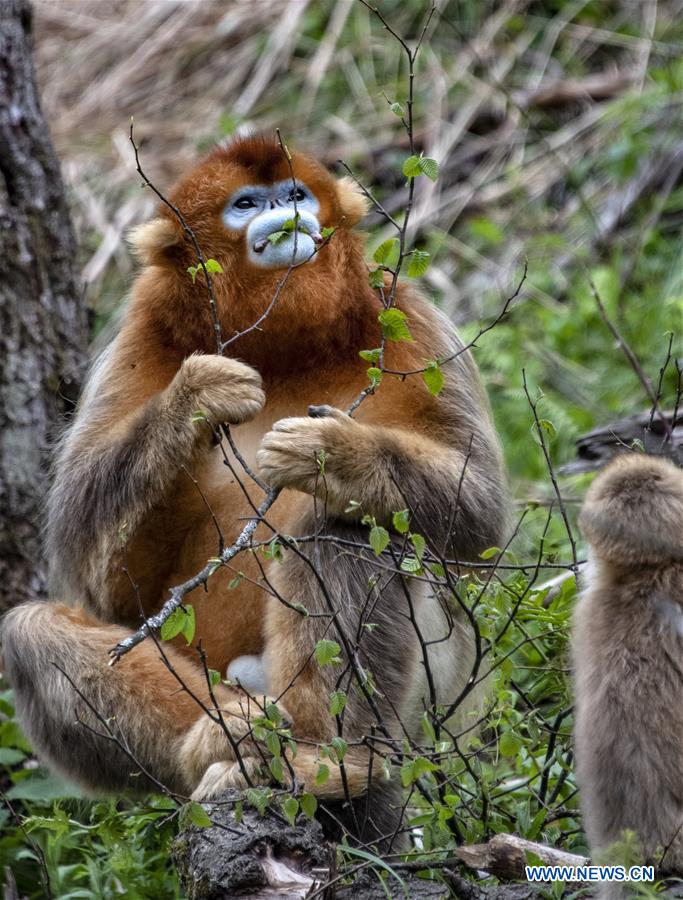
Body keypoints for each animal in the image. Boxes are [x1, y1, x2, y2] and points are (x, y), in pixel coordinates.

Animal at [2, 135, 508, 843]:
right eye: (245, 204)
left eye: (293, 193)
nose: (281, 212)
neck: (283, 345)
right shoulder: (140, 335)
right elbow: (92, 569)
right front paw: (195, 397)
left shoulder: (406, 312)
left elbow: (482, 518)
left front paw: (335, 455)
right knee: (31, 632)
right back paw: (231, 747)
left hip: (437, 700)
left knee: (345, 529)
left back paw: (324, 761)